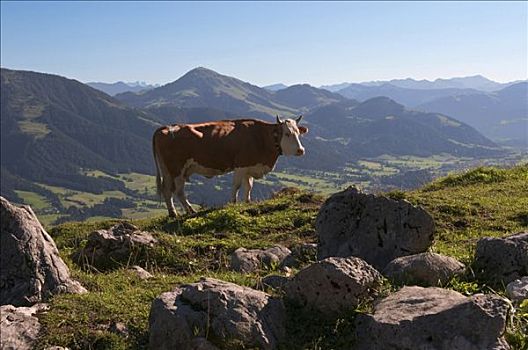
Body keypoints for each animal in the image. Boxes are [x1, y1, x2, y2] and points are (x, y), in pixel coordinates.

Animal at [152, 115, 310, 216]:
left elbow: (248, 186)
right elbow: (237, 186)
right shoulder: (241, 165)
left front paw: (247, 202)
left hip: (167, 170)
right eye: (287, 133)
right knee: (179, 191)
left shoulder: (249, 166)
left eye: (298, 133)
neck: (261, 137)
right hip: (177, 169)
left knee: (167, 190)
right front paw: (233, 203)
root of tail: (165, 128)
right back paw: (190, 210)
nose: (301, 150)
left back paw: (173, 213)